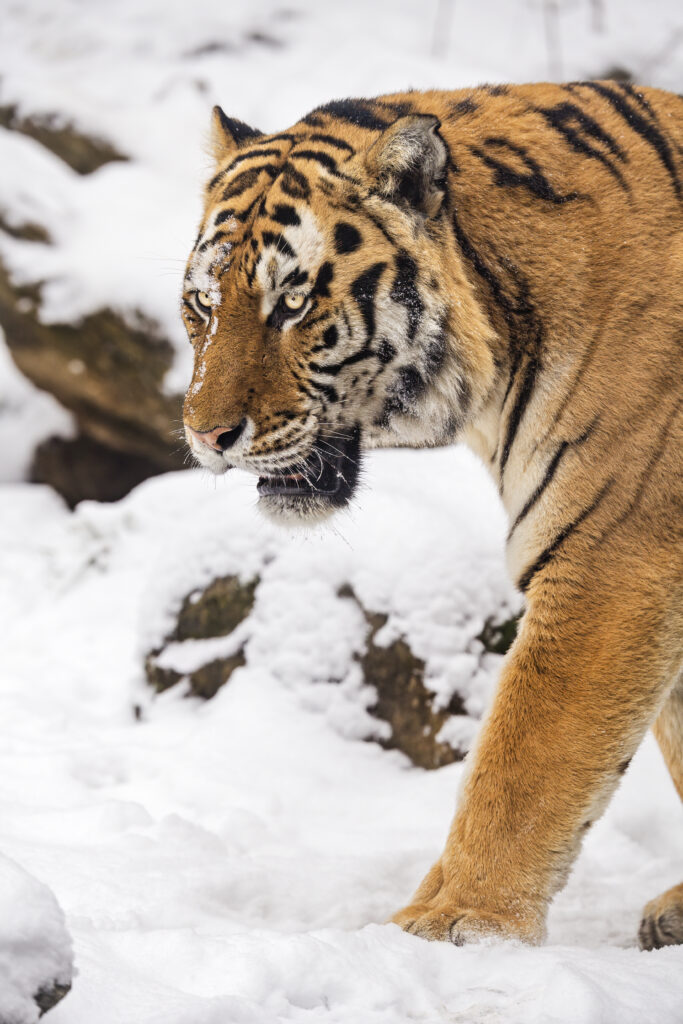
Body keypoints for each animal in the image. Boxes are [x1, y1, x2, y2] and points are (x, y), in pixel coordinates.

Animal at [181, 82, 683, 949]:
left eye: (291, 303)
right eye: (203, 305)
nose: (207, 436)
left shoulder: (611, 561)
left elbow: (523, 765)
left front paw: (456, 924)